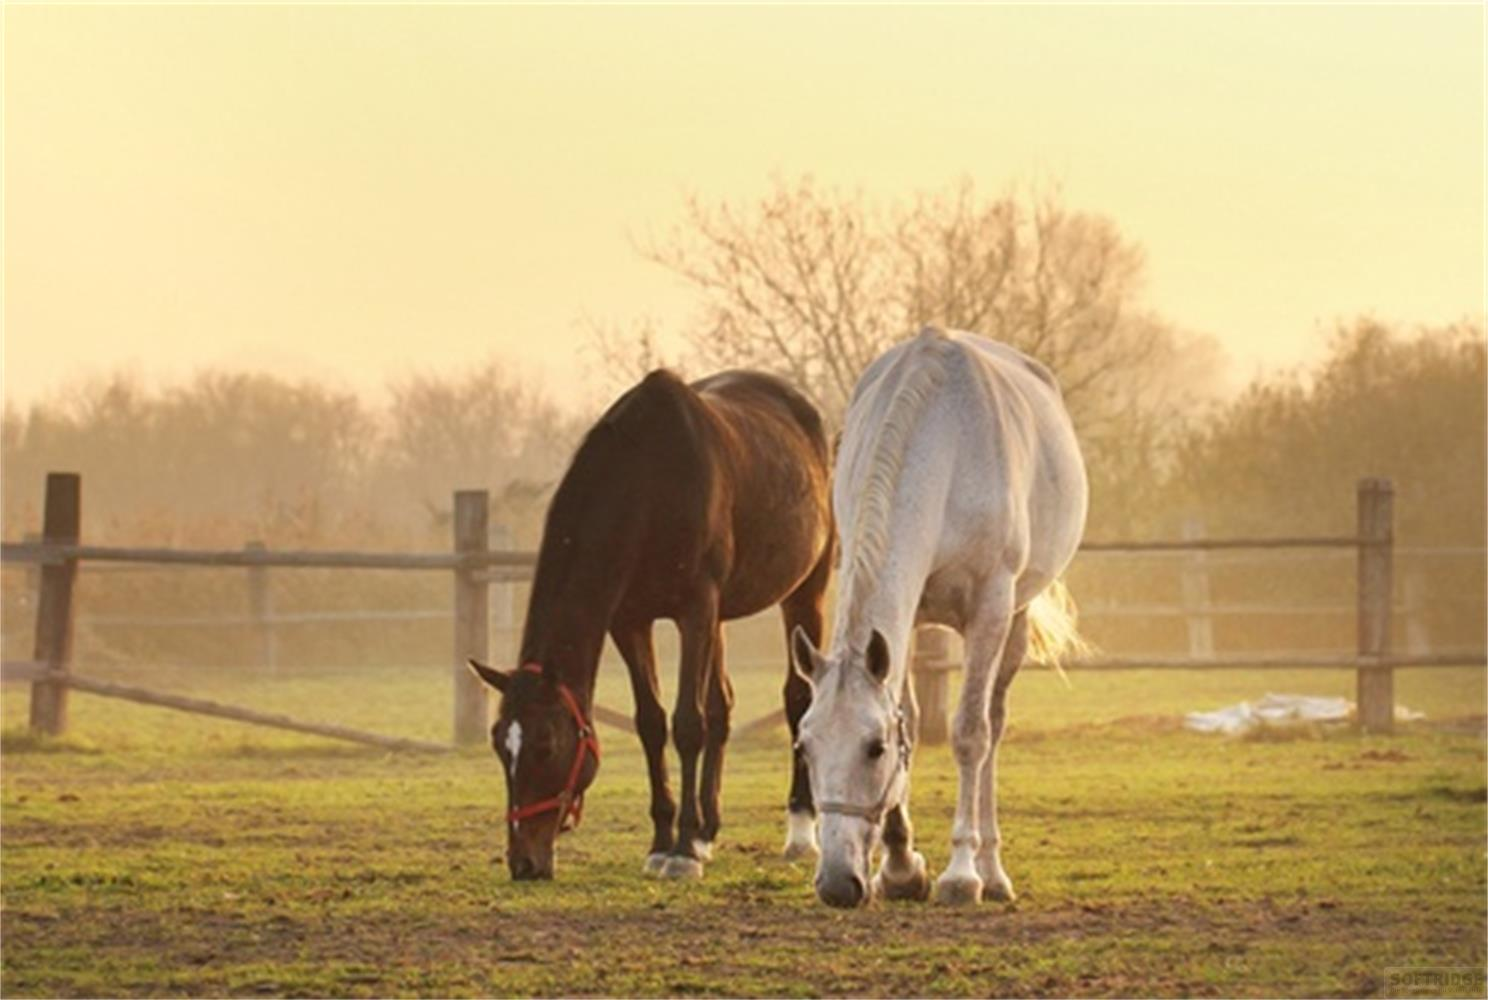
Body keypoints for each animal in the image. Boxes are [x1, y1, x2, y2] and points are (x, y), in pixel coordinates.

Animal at [469, 368, 833, 880]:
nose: (523, 862)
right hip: (721, 617)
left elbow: (687, 724)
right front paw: (666, 841)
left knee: (798, 697)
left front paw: (681, 852)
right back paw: (706, 831)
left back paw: (800, 831)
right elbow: (652, 723)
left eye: (545, 744)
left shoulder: (695, 610)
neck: (650, 481)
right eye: (501, 744)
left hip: (804, 592)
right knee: (722, 707)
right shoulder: (631, 621)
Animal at [790, 327, 1088, 907]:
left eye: (874, 748)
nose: (837, 883)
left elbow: (970, 732)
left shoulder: (990, 608)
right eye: (804, 746)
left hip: (1014, 619)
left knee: (993, 725)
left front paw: (960, 874)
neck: (944, 446)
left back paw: (992, 872)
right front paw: (901, 868)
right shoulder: (905, 620)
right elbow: (909, 712)